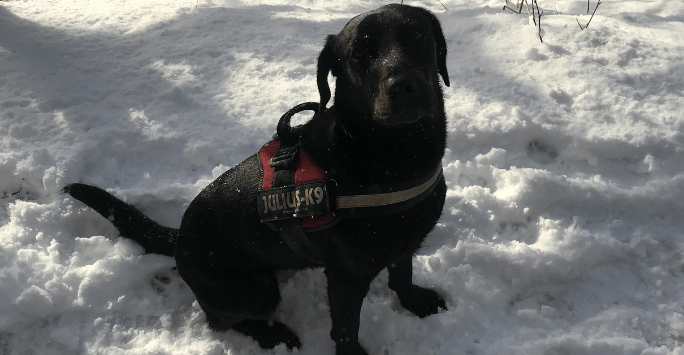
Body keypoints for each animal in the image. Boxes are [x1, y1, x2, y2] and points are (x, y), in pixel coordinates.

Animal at [65, 4, 448, 354]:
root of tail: (179, 237)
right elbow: (345, 330)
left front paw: (414, 302)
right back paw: (273, 334)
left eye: (417, 34)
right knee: (221, 320)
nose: (404, 87)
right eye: (358, 53)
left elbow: (402, 275)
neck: (395, 157)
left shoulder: (407, 243)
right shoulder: (345, 279)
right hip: (257, 291)